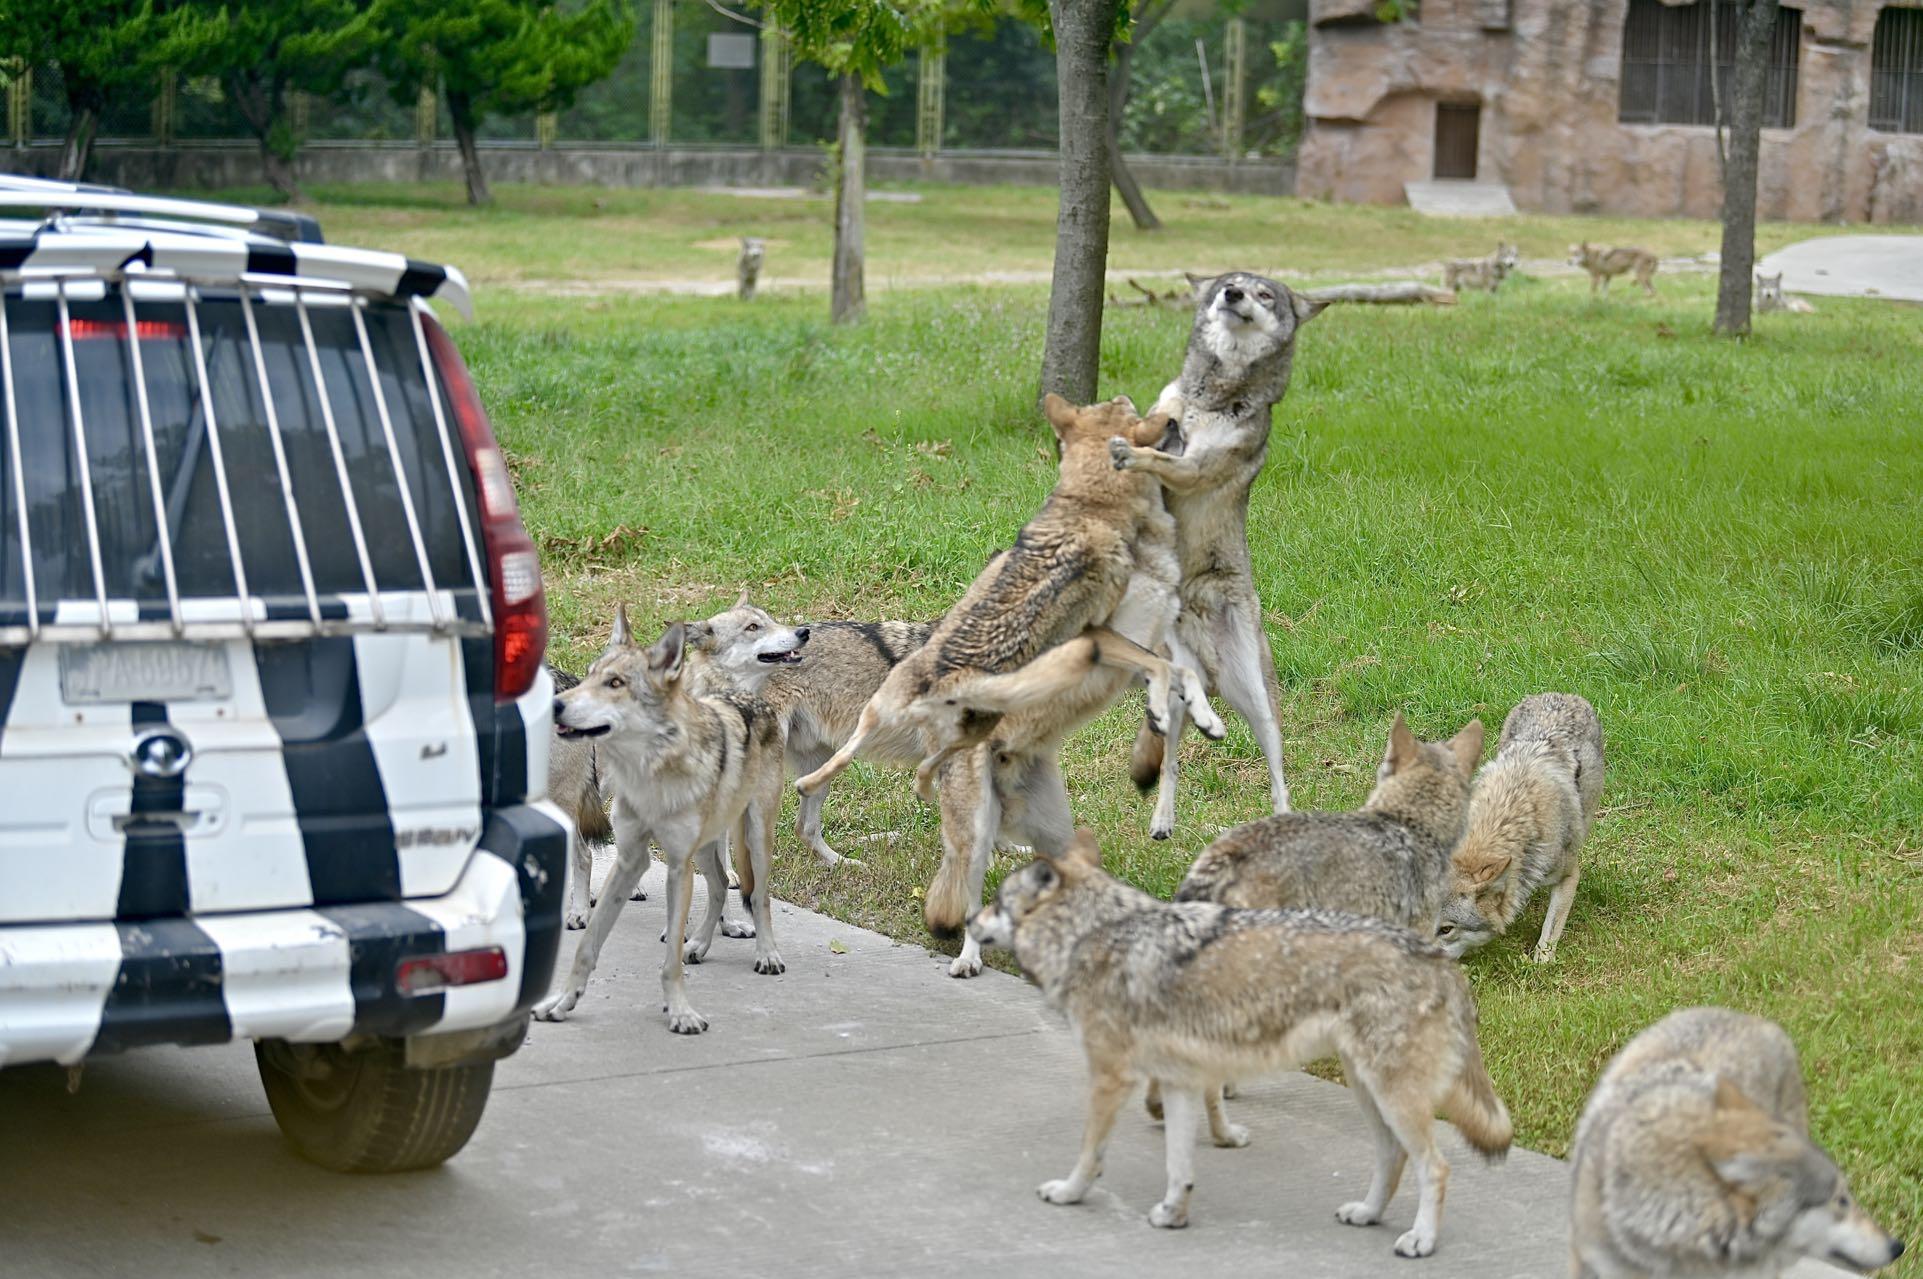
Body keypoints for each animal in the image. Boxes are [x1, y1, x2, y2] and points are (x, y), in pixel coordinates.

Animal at [534, 603, 788, 1030]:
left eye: (766, 621)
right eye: (753, 627)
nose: (803, 633)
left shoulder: (699, 841)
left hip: (753, 830)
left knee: (753, 891)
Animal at [976, 827, 1515, 1253]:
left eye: (997, 902)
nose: (968, 920)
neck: (1096, 935)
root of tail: (1438, 957)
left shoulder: (1111, 1079)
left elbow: (1090, 1154)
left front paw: (1069, 1193)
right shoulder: (1178, 1083)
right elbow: (1179, 1167)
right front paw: (1173, 1214)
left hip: (1393, 1096)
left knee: (1436, 1167)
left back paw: (1421, 1240)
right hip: (1371, 1093)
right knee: (1394, 1156)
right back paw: (1368, 1214)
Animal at [1107, 267, 1330, 838]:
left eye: (1263, 294)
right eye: (1230, 282)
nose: (1231, 294)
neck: (1211, 396)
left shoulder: (1196, 468)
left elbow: (1164, 460)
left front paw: (1132, 452)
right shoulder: (1165, 407)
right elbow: (1153, 419)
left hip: (1259, 704)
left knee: (1276, 773)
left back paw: (1280, 819)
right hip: (1176, 680)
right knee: (1173, 754)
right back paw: (1163, 817)